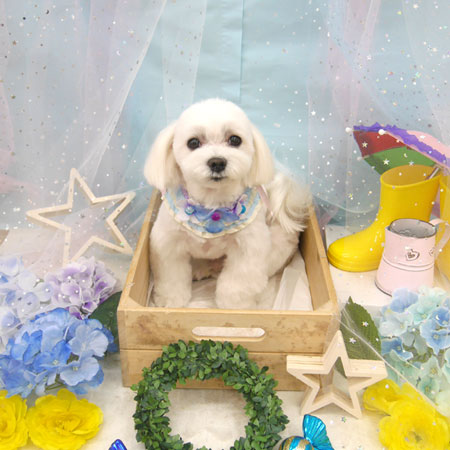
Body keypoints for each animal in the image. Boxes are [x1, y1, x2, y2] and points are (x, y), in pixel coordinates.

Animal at [144, 98, 311, 309]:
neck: (212, 204)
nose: (217, 162)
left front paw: (235, 308)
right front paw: (170, 301)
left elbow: (237, 284)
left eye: (235, 140)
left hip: (278, 245)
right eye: (193, 142)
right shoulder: (168, 244)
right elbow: (171, 277)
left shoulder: (248, 248)